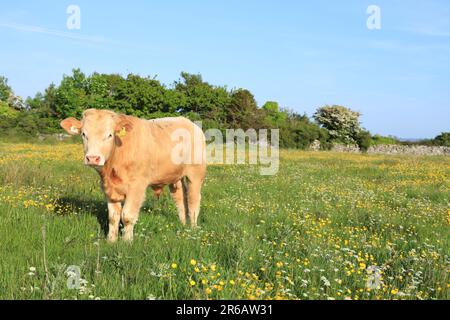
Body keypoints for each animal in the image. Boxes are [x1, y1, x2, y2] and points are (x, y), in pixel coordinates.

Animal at [60, 110, 207, 242]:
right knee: (180, 199)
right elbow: (113, 217)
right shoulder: (108, 189)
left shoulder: (137, 187)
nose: (92, 158)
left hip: (195, 173)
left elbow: (127, 216)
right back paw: (183, 225)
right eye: (84, 134)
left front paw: (127, 241)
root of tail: (188, 122)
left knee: (193, 200)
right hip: (175, 177)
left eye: (110, 135)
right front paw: (111, 241)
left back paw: (193, 229)